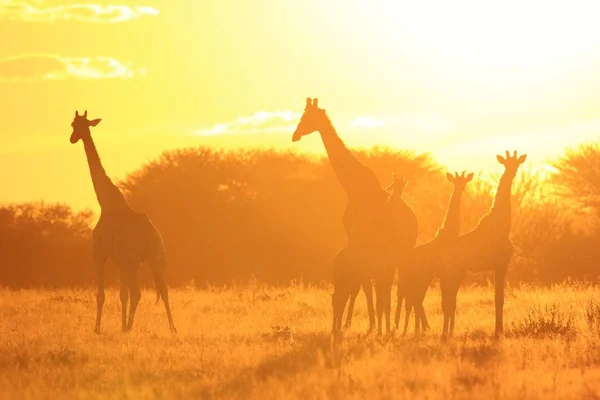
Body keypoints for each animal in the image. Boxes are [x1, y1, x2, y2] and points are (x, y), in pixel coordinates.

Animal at [70, 111, 177, 332]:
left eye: (77, 125)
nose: (72, 138)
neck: (106, 202)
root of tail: (150, 237)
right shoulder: (121, 260)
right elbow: (123, 295)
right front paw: (120, 325)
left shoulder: (100, 254)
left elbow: (102, 295)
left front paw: (97, 329)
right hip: (156, 258)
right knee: (163, 291)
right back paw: (171, 329)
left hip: (133, 261)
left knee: (139, 292)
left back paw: (130, 328)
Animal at [292, 98, 414, 336]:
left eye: (306, 117)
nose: (295, 135)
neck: (353, 187)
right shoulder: (355, 239)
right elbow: (361, 285)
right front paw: (363, 325)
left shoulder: (362, 240)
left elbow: (364, 284)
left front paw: (370, 326)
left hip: (402, 253)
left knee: (395, 285)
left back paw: (393, 326)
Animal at [398, 170, 474, 336]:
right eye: (455, 182)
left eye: (464, 181)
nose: (461, 189)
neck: (451, 234)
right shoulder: (447, 275)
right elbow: (447, 303)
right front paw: (447, 332)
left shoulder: (451, 275)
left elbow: (451, 303)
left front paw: (450, 332)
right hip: (419, 278)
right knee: (413, 299)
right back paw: (415, 330)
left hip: (423, 278)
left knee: (414, 299)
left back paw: (417, 330)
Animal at [438, 152, 528, 340]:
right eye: (506, 164)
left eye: (517, 163)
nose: (512, 173)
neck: (502, 226)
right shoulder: (501, 264)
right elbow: (499, 298)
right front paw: (498, 332)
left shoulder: (499, 265)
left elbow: (499, 298)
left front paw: (498, 331)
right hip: (452, 272)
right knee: (447, 299)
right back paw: (445, 335)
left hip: (454, 273)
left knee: (448, 299)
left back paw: (448, 334)